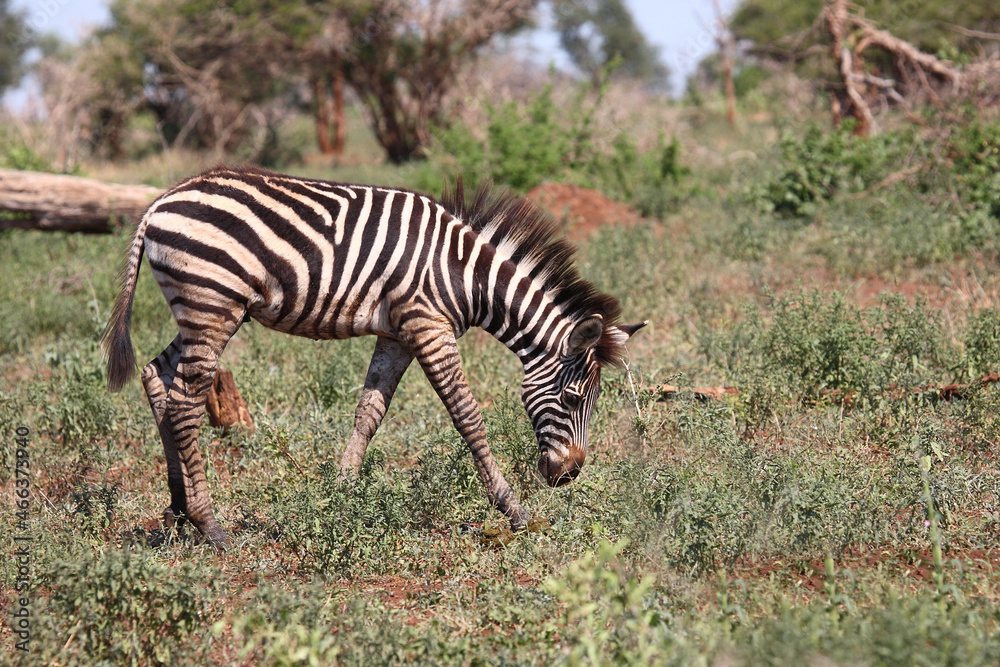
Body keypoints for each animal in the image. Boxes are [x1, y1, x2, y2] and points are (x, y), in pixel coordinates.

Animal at [102, 165, 645, 549]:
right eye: (573, 399)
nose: (569, 474)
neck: (467, 276)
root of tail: (159, 203)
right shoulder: (428, 325)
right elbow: (468, 417)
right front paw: (514, 511)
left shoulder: (397, 333)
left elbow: (369, 413)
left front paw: (340, 495)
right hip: (212, 303)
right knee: (185, 403)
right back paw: (210, 525)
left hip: (201, 309)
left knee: (156, 379)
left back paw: (176, 510)